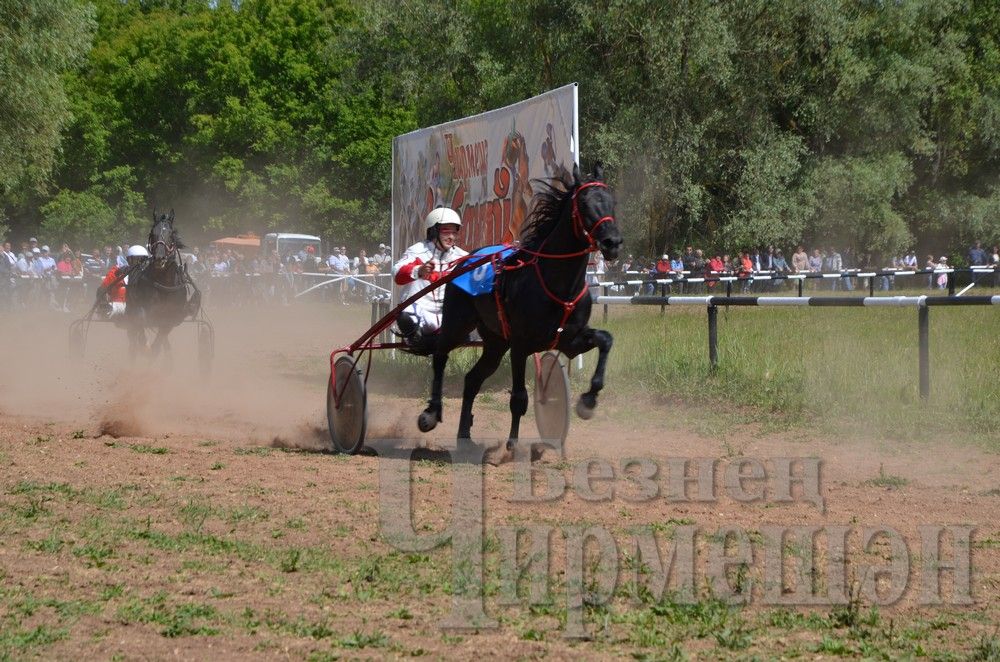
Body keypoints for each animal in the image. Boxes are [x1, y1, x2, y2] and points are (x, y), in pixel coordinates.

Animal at [124, 210, 200, 360]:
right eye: (152, 233)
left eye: (170, 233)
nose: (160, 258)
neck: (164, 283)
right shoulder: (143, 311)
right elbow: (141, 322)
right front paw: (144, 347)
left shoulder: (169, 320)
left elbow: (157, 345)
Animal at [418, 164, 620, 454]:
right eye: (584, 203)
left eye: (611, 201)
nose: (612, 242)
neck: (557, 284)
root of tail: (463, 261)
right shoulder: (520, 345)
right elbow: (519, 398)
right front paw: (511, 446)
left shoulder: (570, 340)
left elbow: (605, 340)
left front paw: (588, 401)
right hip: (457, 324)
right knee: (440, 355)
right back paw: (431, 413)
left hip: (495, 342)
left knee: (472, 380)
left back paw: (464, 435)